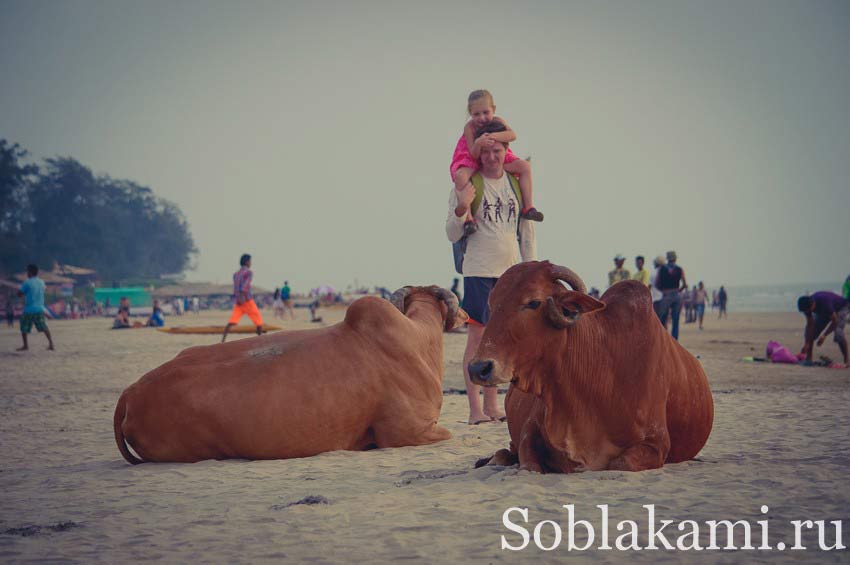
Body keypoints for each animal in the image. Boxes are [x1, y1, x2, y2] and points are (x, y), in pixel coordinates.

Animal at [468, 262, 712, 472]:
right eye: (491, 304)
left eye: (533, 302)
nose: (478, 368)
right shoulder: (531, 428)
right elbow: (528, 463)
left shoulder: (656, 442)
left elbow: (620, 463)